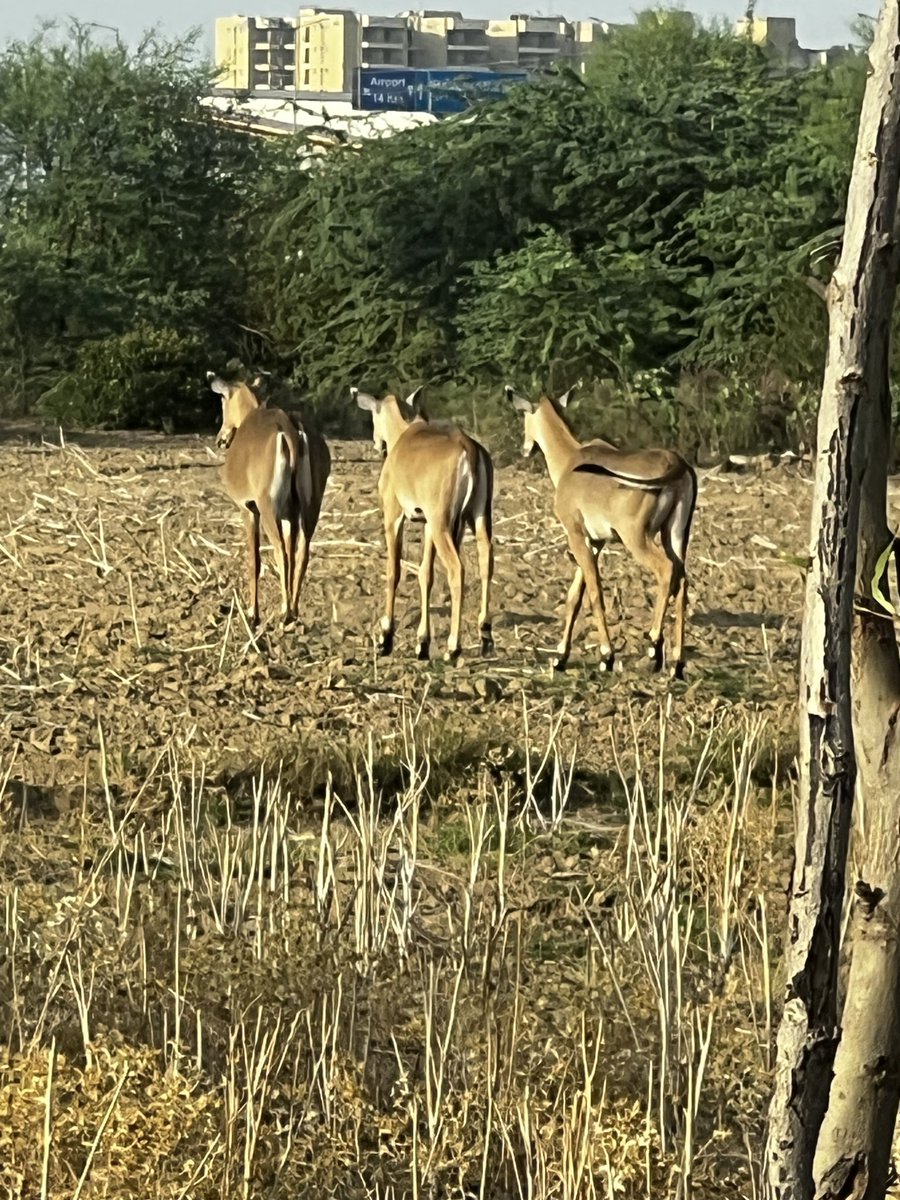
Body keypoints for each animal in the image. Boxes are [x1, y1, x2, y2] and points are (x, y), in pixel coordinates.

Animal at [207, 372, 331, 626]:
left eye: (223, 398)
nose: (220, 439)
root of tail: (291, 431)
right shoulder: (290, 515)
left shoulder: (248, 509)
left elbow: (254, 560)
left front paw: (252, 613)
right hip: (310, 508)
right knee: (301, 552)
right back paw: (293, 610)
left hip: (268, 509)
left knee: (280, 552)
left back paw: (284, 612)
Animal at [351, 386, 494, 661]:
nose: (376, 442)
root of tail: (468, 447)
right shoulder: (427, 524)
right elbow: (425, 574)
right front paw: (422, 642)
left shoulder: (394, 517)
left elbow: (393, 571)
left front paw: (386, 637)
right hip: (477, 518)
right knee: (486, 560)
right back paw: (485, 634)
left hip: (442, 524)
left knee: (457, 569)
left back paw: (453, 647)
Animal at [505, 385, 697, 678]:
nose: (525, 448)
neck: (572, 460)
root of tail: (675, 462)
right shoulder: (595, 542)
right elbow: (575, 597)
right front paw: (559, 657)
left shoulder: (576, 535)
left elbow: (594, 592)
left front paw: (607, 655)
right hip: (674, 535)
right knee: (683, 579)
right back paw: (677, 662)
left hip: (637, 538)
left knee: (666, 569)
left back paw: (654, 646)